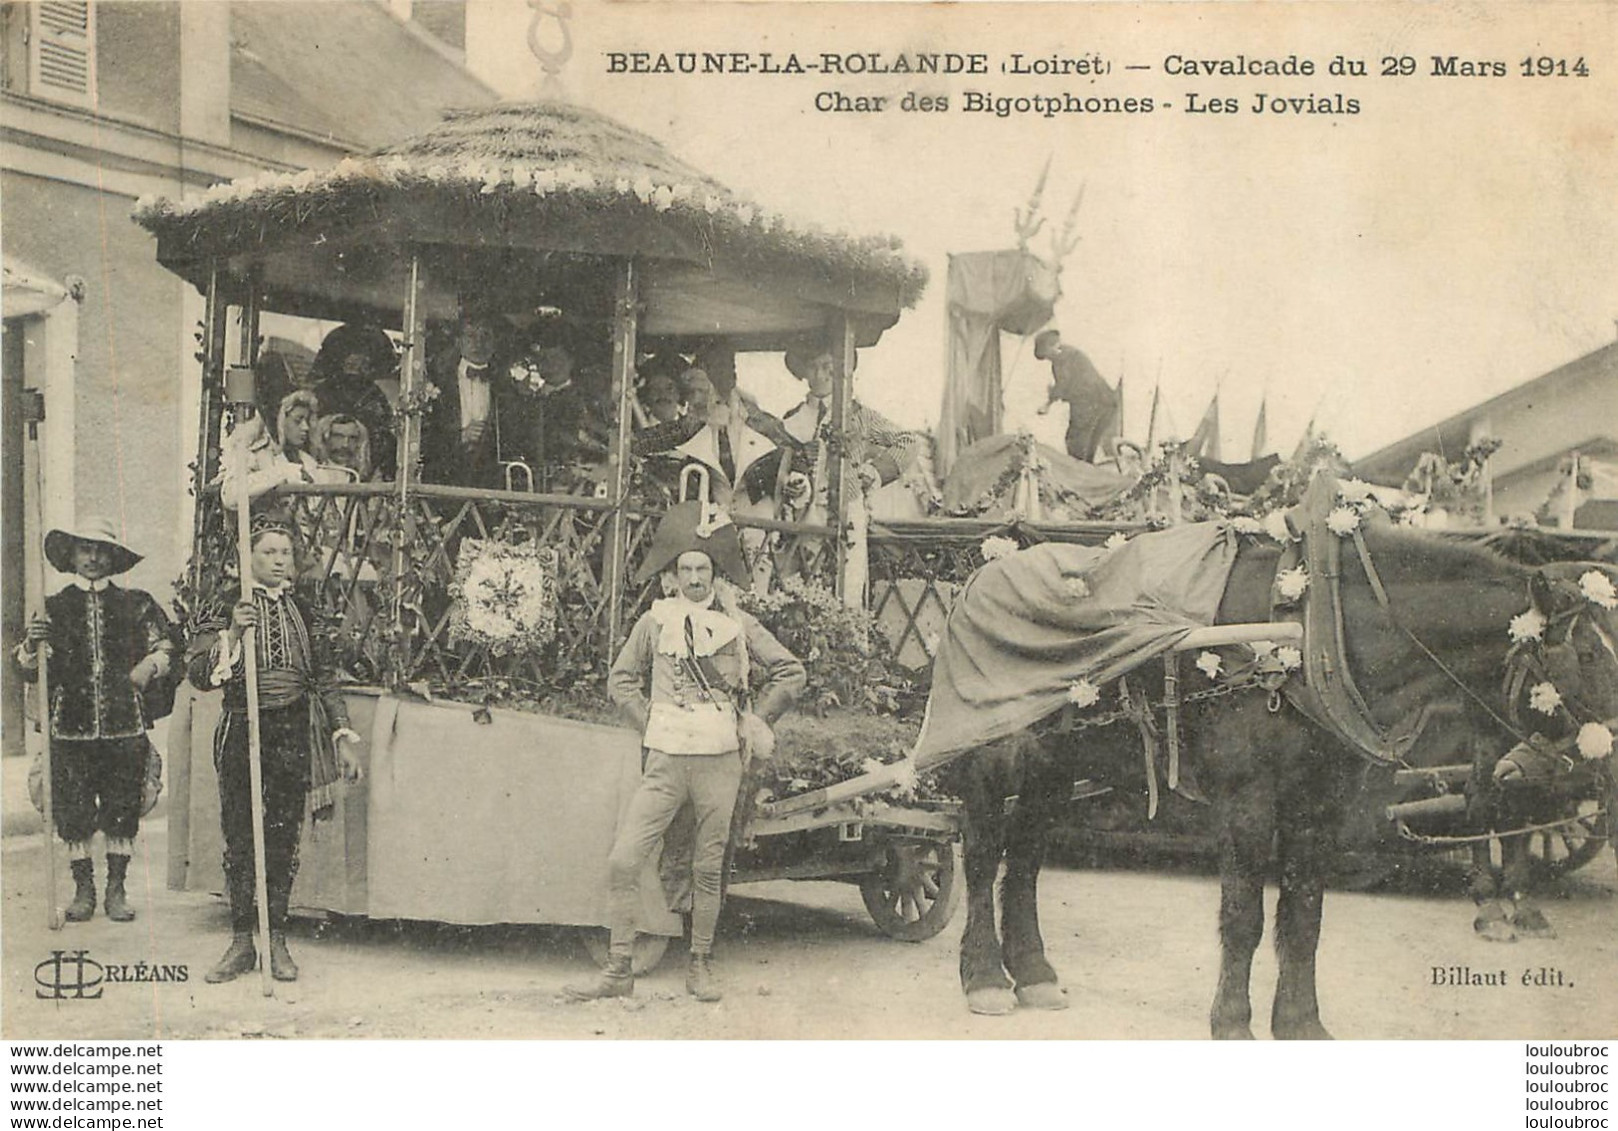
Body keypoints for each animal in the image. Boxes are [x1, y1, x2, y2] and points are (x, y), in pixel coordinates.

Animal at [938, 521, 1618, 1035]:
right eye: (1590, 653)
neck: (1318, 633)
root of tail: (980, 571)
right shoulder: (1249, 801)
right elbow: (1244, 916)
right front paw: (1232, 1022)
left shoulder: (1319, 805)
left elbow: (1304, 916)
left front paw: (1299, 1023)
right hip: (992, 755)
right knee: (983, 854)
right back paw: (986, 977)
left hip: (1057, 765)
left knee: (1025, 858)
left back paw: (1034, 974)